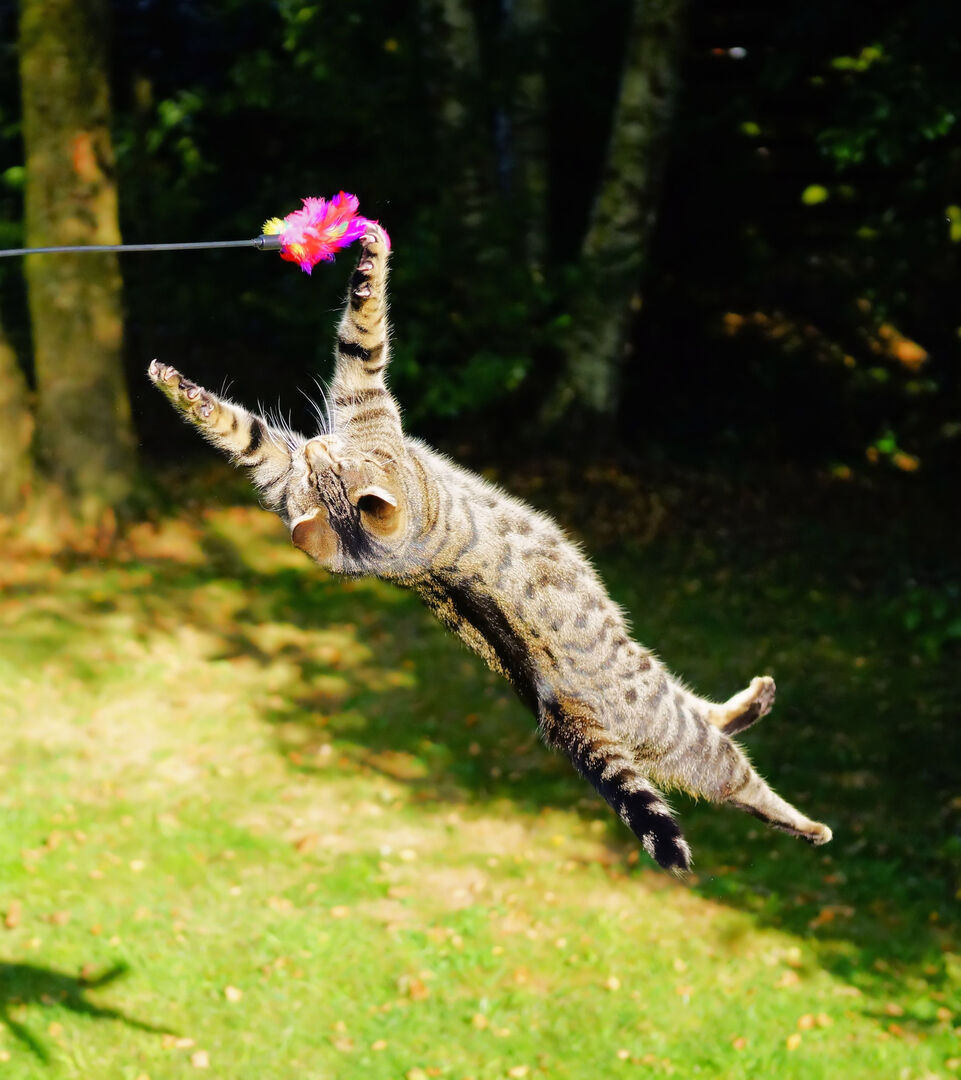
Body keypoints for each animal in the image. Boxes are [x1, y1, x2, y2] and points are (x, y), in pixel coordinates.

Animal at [148, 221, 832, 872]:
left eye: (327, 460)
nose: (316, 444)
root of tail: (555, 710)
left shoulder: (283, 472)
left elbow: (242, 432)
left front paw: (176, 386)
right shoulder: (362, 401)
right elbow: (362, 329)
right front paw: (369, 256)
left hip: (653, 714)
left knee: (707, 724)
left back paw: (758, 700)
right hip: (667, 717)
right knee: (734, 783)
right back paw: (808, 823)